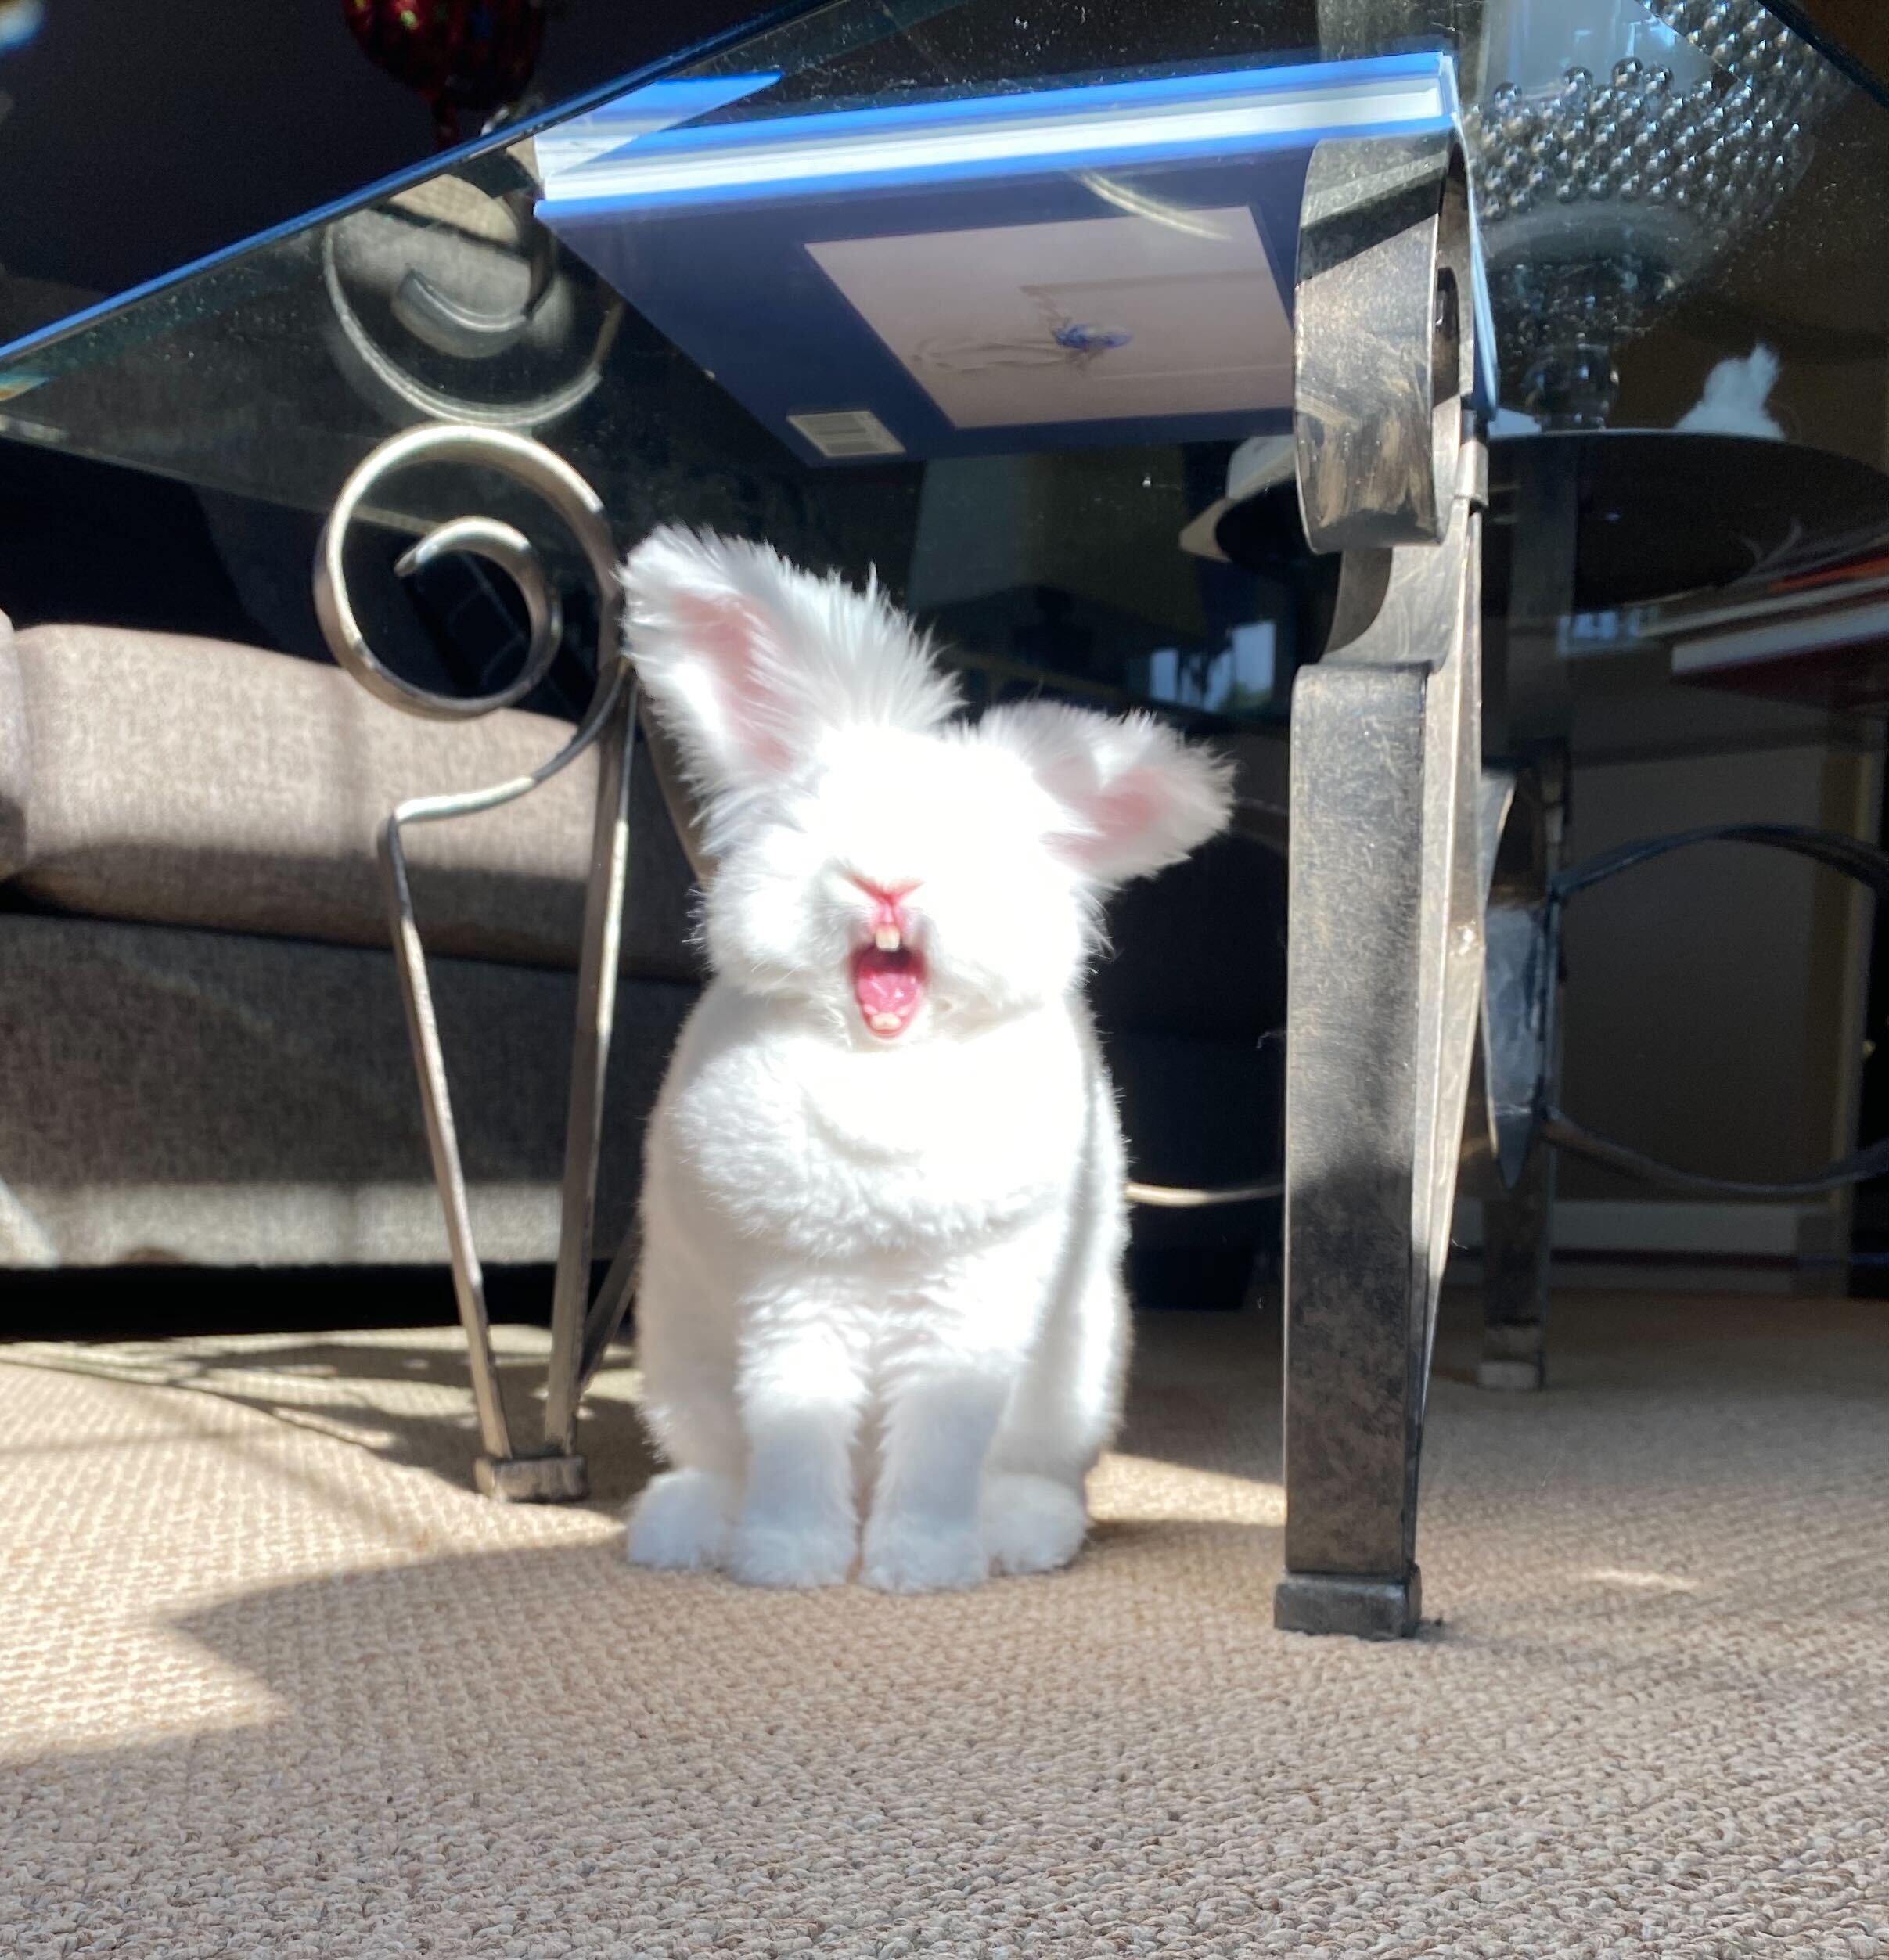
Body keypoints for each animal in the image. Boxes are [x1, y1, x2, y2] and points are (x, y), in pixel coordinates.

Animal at [623, 525, 1238, 1591]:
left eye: (972, 846)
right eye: (812, 818)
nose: (887, 882)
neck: (887, 1067)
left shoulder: (967, 1309)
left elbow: (941, 1438)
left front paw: (920, 1568)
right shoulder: (794, 1295)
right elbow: (796, 1429)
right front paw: (790, 1561)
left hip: (1069, 1396)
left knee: (1026, 1474)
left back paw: (1018, 1535)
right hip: (681, 1374)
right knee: (718, 1463)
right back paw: (689, 1531)